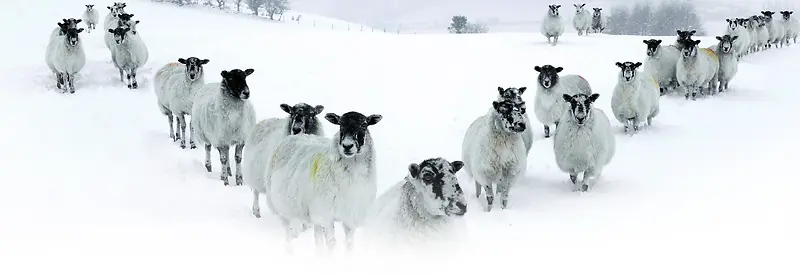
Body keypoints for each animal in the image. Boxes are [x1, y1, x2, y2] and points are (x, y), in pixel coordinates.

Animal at [266, 110, 384, 252]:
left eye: (364, 125)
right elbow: (332, 243)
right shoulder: (326, 214)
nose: (347, 146)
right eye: (340, 126)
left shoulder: (350, 215)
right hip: (285, 208)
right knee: (289, 233)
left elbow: (349, 243)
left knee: (317, 237)